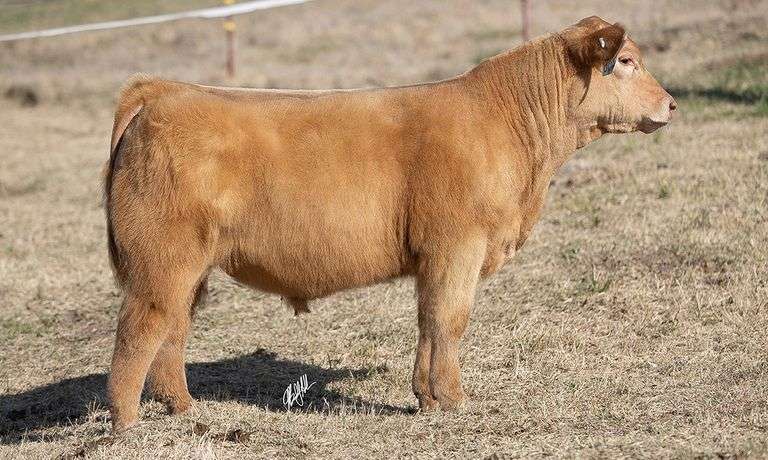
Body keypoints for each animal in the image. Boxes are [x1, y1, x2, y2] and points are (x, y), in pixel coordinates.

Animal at [104, 16, 676, 432]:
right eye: (626, 61)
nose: (672, 103)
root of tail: (162, 91)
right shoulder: (458, 247)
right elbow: (450, 320)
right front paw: (454, 399)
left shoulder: (434, 259)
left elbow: (428, 321)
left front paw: (427, 398)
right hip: (161, 262)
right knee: (140, 331)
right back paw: (128, 425)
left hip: (188, 268)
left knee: (172, 331)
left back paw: (183, 409)